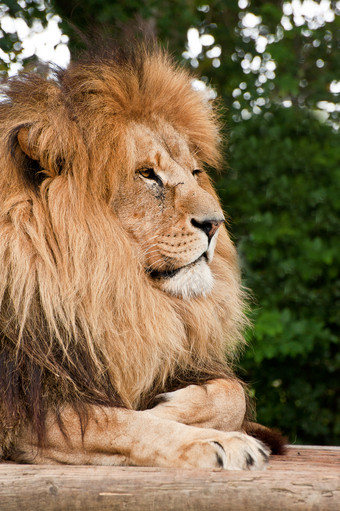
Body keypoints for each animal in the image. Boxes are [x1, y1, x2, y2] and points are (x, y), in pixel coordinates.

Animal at [0, 43, 282, 468]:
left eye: (195, 172)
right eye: (147, 174)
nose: (215, 224)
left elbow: (230, 392)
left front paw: (170, 407)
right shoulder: (26, 403)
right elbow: (119, 423)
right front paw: (219, 443)